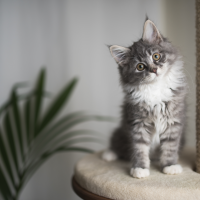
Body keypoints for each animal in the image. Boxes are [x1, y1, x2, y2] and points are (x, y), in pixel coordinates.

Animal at [101, 18, 188, 178]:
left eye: (156, 56)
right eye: (140, 67)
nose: (154, 70)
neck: (155, 88)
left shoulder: (173, 121)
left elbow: (170, 146)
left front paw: (170, 166)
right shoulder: (137, 123)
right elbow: (139, 148)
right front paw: (140, 168)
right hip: (120, 132)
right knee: (117, 145)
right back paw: (109, 154)